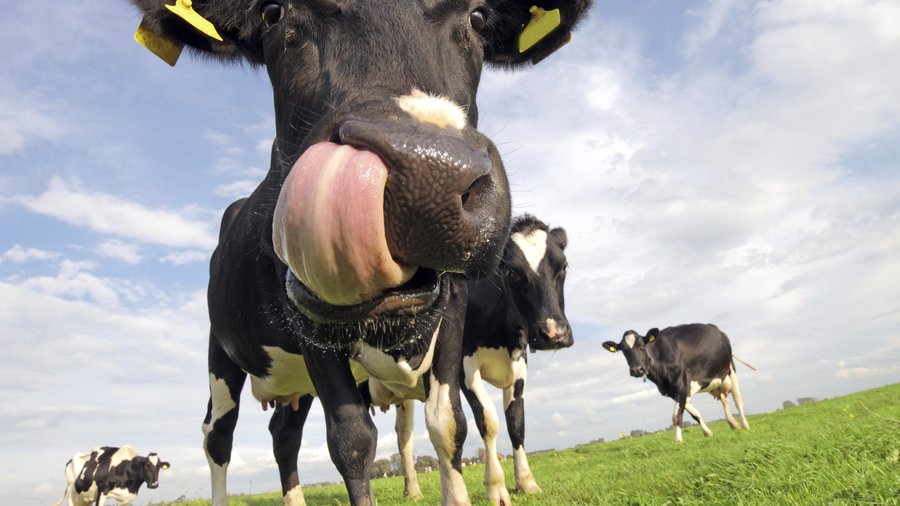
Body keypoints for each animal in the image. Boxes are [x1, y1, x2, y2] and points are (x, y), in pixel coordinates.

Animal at [373, 214, 572, 505]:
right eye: (510, 272)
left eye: (563, 267)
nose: (554, 333)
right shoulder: (463, 368)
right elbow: (488, 421)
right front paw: (496, 487)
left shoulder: (519, 368)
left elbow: (517, 424)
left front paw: (526, 482)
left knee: (404, 437)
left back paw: (412, 491)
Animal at [603, 323, 750, 443]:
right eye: (623, 350)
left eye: (642, 346)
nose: (636, 370)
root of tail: (718, 330)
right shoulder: (674, 391)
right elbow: (694, 414)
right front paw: (707, 432)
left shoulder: (682, 385)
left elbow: (676, 416)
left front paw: (678, 440)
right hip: (716, 382)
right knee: (724, 399)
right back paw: (733, 423)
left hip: (730, 370)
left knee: (738, 401)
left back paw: (745, 425)